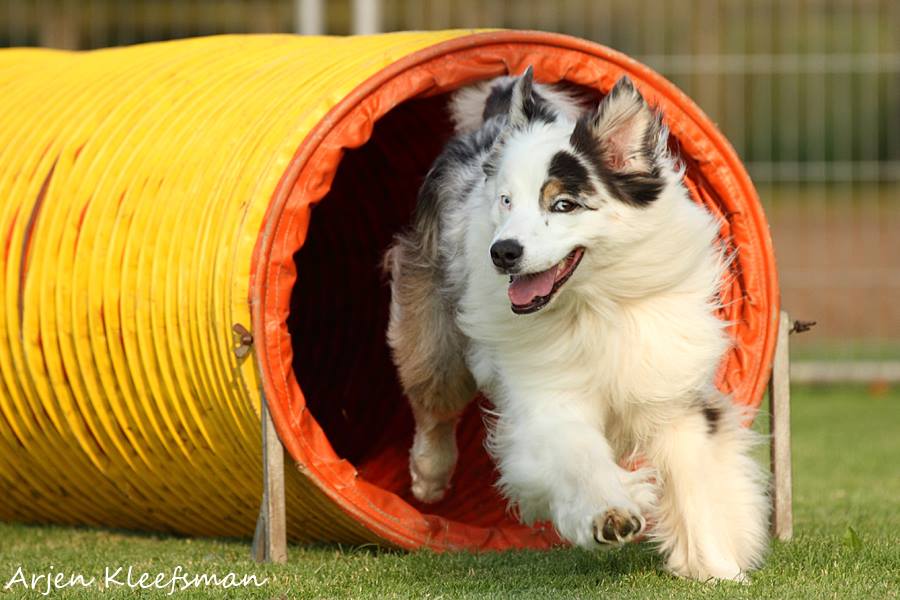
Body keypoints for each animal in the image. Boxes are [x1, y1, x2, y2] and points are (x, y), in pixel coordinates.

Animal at [384, 65, 768, 580]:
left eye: (563, 204)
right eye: (506, 201)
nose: (502, 252)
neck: (594, 303)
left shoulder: (671, 390)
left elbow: (694, 482)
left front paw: (714, 567)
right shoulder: (547, 396)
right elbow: (577, 454)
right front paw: (612, 514)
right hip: (436, 328)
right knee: (433, 400)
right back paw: (429, 477)